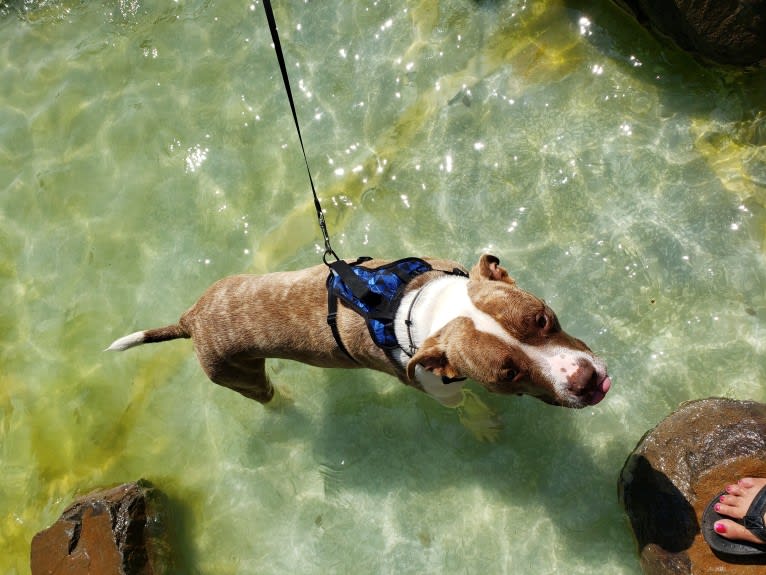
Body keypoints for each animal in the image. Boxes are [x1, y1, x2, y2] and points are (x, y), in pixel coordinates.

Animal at [106, 255, 612, 410]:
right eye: (507, 375)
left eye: (543, 318)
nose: (586, 380)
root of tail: (191, 318)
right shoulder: (436, 387)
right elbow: (465, 405)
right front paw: (486, 423)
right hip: (238, 374)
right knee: (264, 394)